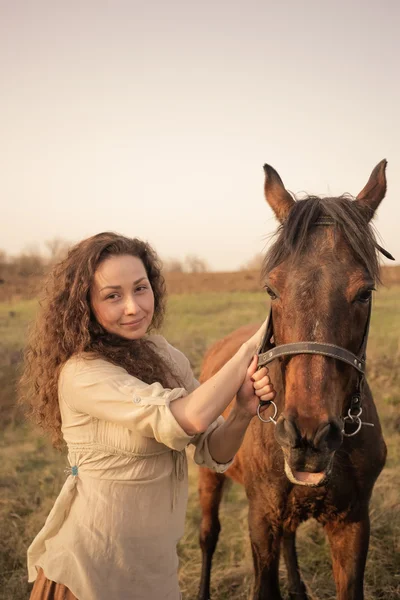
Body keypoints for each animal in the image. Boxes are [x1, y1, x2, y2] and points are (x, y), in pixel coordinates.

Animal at [197, 161, 390, 600]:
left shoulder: (353, 523)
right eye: (272, 288)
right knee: (208, 535)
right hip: (208, 479)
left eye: (365, 292)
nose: (308, 435)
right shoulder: (260, 521)